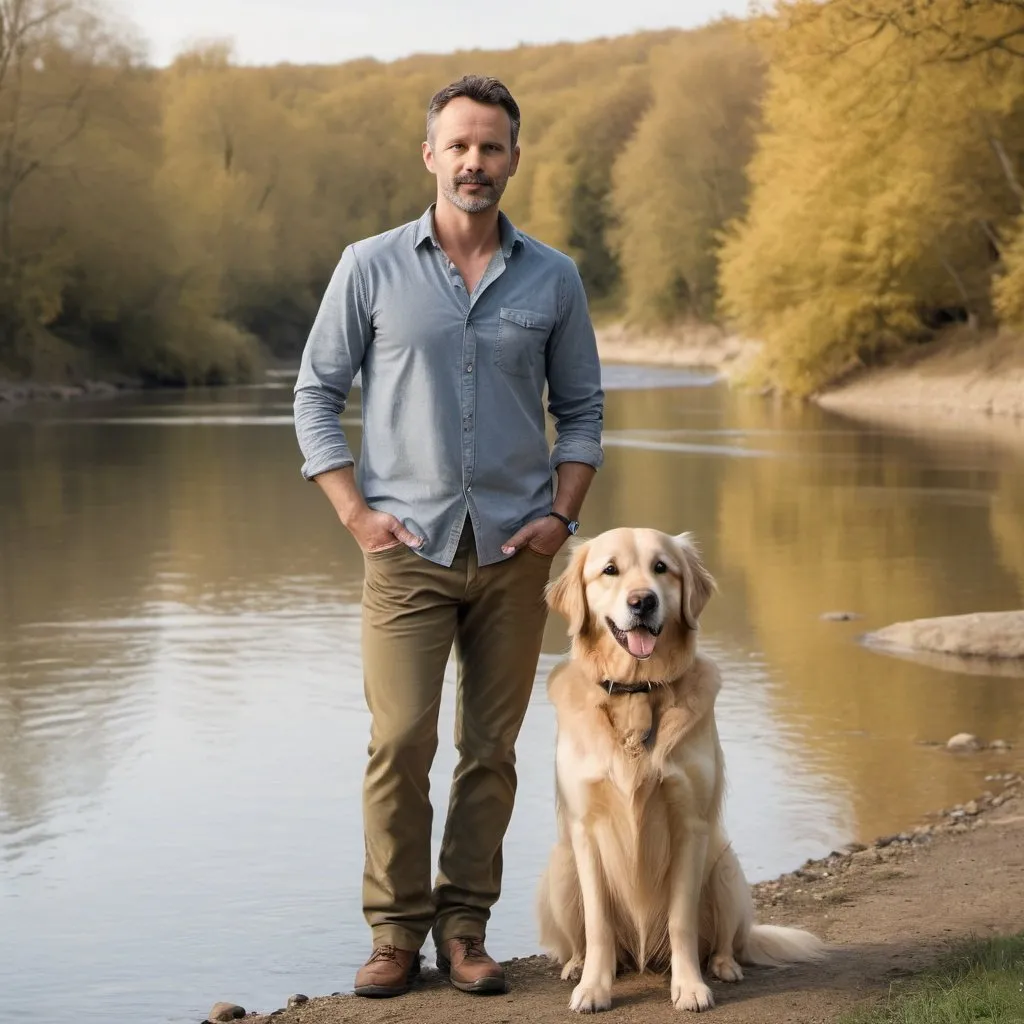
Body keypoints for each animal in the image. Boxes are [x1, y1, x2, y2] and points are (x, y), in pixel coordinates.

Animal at [536, 532, 823, 1011]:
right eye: (609, 570)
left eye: (661, 568)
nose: (643, 601)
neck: (636, 692)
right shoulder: (585, 828)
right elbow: (597, 925)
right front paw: (593, 988)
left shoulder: (689, 823)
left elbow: (681, 921)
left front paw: (689, 987)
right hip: (560, 870)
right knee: (581, 939)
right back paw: (577, 966)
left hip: (724, 868)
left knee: (726, 940)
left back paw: (725, 966)